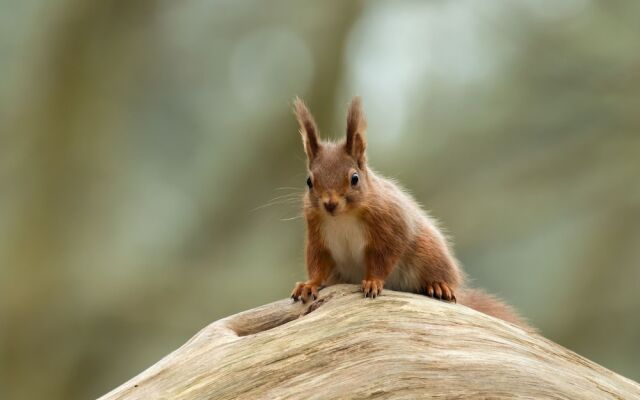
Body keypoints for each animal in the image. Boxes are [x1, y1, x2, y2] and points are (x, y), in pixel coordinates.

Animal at [290, 95, 528, 330]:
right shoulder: (317, 233)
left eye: (354, 178)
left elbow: (385, 255)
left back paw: (439, 285)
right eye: (309, 181)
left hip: (428, 252)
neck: (343, 217)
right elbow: (317, 262)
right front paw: (309, 284)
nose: (329, 204)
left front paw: (373, 281)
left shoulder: (391, 223)